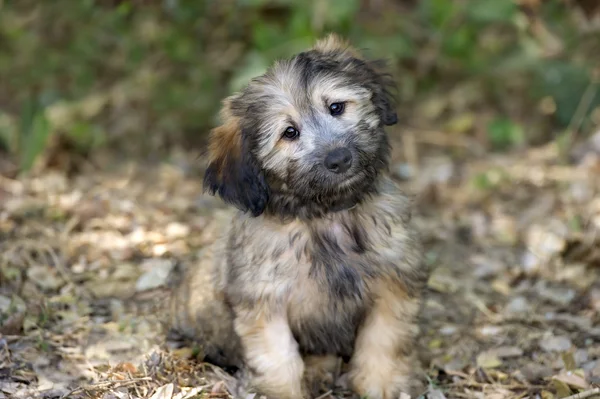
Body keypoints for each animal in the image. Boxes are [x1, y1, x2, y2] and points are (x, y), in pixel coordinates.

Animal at [169, 34, 428, 399]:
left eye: (336, 107)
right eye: (289, 133)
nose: (339, 158)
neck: (325, 216)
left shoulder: (394, 281)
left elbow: (384, 339)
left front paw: (382, 384)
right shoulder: (265, 301)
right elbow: (278, 358)